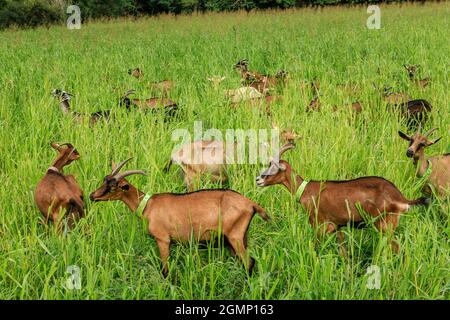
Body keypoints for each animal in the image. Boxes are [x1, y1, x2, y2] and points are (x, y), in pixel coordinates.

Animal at [89, 158, 268, 276]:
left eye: (113, 187)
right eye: (104, 180)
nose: (92, 196)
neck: (148, 205)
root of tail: (251, 204)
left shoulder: (163, 240)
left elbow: (165, 270)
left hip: (234, 236)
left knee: (249, 262)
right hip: (238, 238)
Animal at [256, 142, 428, 255]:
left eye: (274, 167)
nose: (258, 179)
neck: (304, 190)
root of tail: (401, 198)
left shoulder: (320, 225)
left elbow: (317, 247)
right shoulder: (337, 227)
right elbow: (343, 252)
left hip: (384, 224)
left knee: (396, 247)